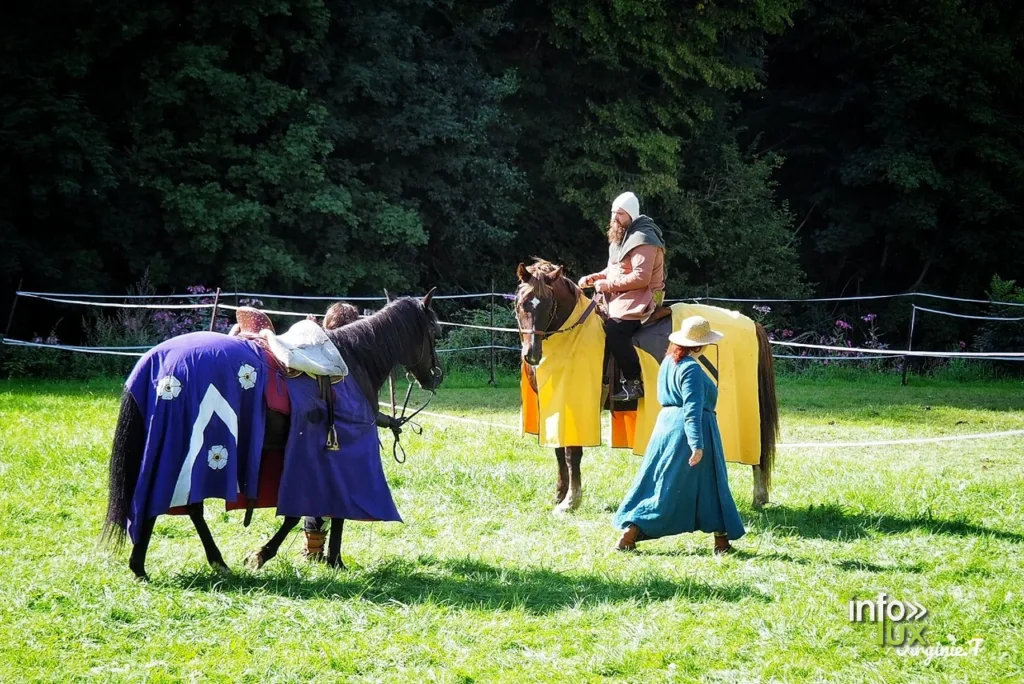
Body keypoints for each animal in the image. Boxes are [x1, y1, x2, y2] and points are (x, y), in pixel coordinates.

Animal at [516, 260, 778, 511]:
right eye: (521, 304)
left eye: (549, 305)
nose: (532, 355)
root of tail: (752, 324)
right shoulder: (555, 403)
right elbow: (558, 450)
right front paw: (560, 495)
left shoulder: (576, 400)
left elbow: (572, 453)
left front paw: (571, 501)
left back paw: (758, 496)